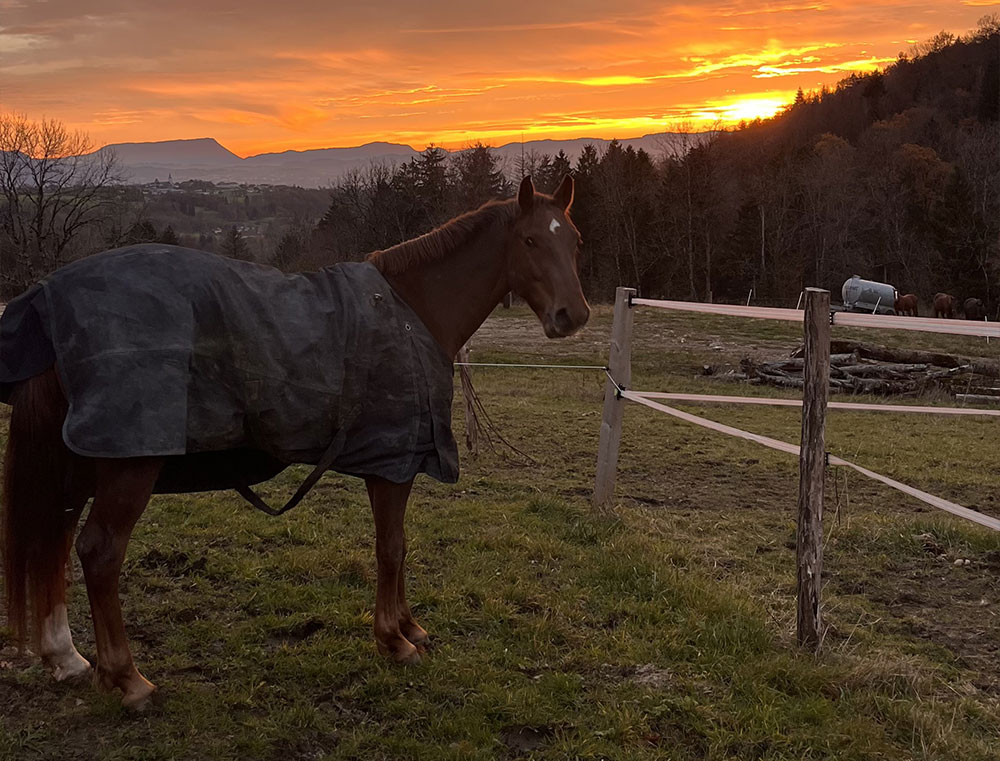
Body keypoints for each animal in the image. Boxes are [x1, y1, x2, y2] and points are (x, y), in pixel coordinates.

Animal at [0, 175, 589, 711]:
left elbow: (398, 545)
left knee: (56, 538)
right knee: (99, 552)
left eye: (576, 240)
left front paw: (409, 627)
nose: (573, 315)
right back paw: (127, 679)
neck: (410, 312)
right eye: (531, 241)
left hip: (83, 460)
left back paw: (67, 658)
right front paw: (393, 640)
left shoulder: (386, 461)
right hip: (129, 464)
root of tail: (51, 297)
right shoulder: (393, 463)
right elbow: (391, 548)